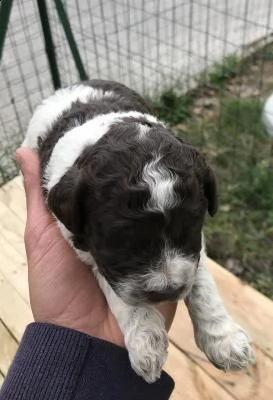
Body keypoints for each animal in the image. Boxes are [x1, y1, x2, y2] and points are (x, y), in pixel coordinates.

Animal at [22, 79, 254, 382]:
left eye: (190, 224)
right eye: (120, 240)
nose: (167, 291)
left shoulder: (193, 249)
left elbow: (202, 284)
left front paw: (225, 341)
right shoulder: (90, 250)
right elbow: (123, 294)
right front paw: (147, 345)